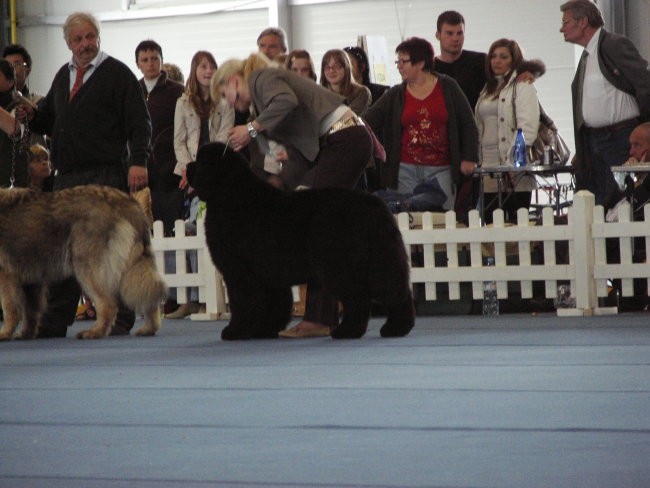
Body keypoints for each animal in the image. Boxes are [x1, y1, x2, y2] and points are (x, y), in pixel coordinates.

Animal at [0, 184, 167, 340]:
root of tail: (123, 199)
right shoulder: (31, 281)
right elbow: (30, 313)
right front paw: (25, 334)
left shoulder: (7, 277)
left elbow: (10, 309)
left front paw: (5, 333)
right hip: (127, 266)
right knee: (149, 298)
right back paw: (148, 329)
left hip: (87, 267)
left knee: (108, 305)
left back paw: (95, 332)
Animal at [190, 141, 412, 340]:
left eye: (201, 163)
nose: (187, 167)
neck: (230, 194)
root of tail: (375, 205)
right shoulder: (269, 274)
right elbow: (275, 304)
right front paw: (265, 330)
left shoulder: (239, 272)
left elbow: (243, 303)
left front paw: (235, 331)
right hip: (381, 260)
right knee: (397, 292)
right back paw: (396, 328)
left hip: (341, 266)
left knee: (358, 299)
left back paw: (347, 332)